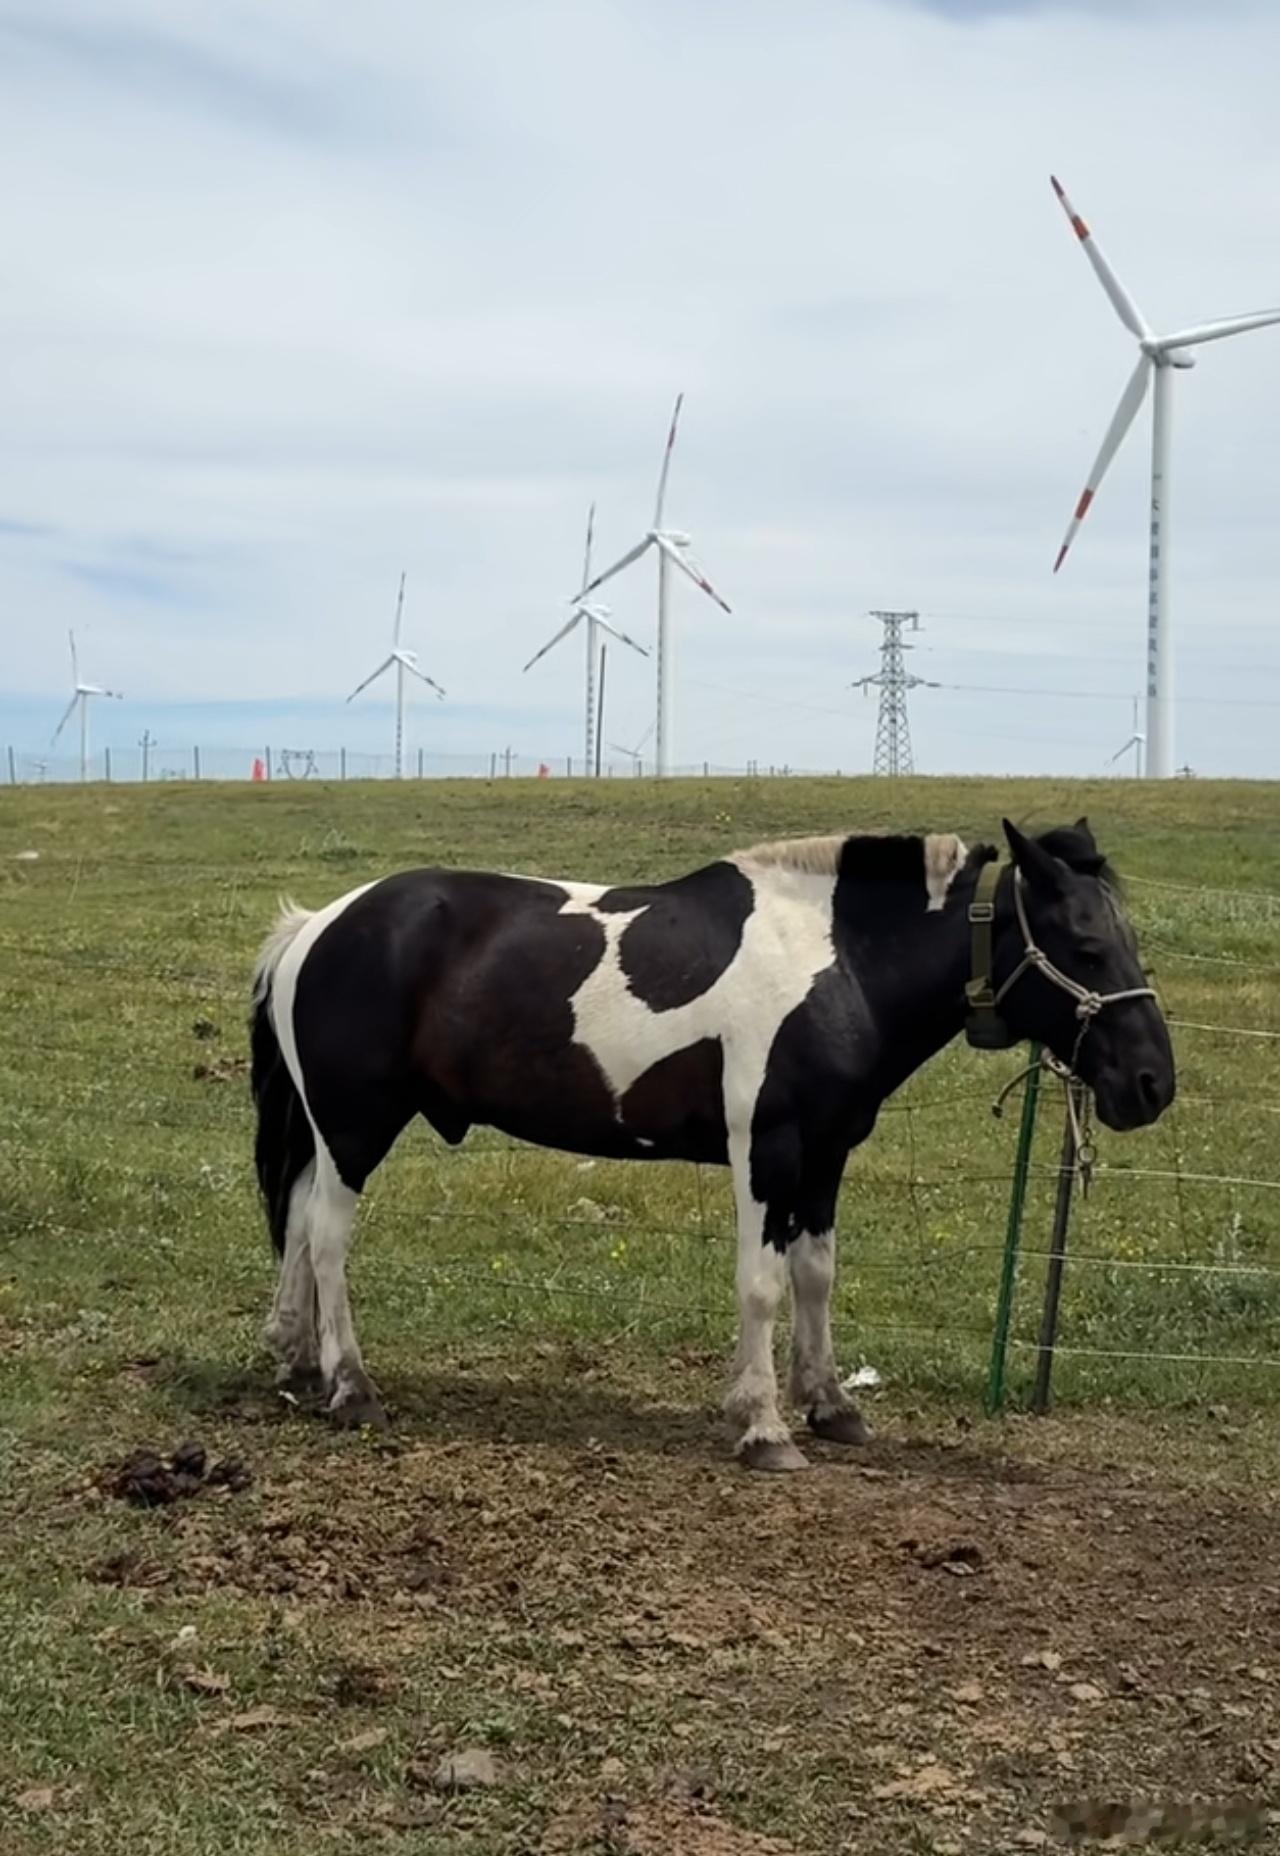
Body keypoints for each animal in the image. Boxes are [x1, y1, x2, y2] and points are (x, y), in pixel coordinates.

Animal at [249, 817, 1174, 1470]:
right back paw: (352, 1387)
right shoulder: (767, 1151)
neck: (835, 961)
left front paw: (831, 1405)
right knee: (326, 1239)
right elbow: (762, 1285)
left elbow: (816, 1276)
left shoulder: (826, 1155)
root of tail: (317, 926)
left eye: (1125, 938)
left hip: (327, 1136)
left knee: (296, 1221)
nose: (1152, 1083)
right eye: (1085, 943)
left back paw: (297, 1362)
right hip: (355, 1129)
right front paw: (764, 1427)